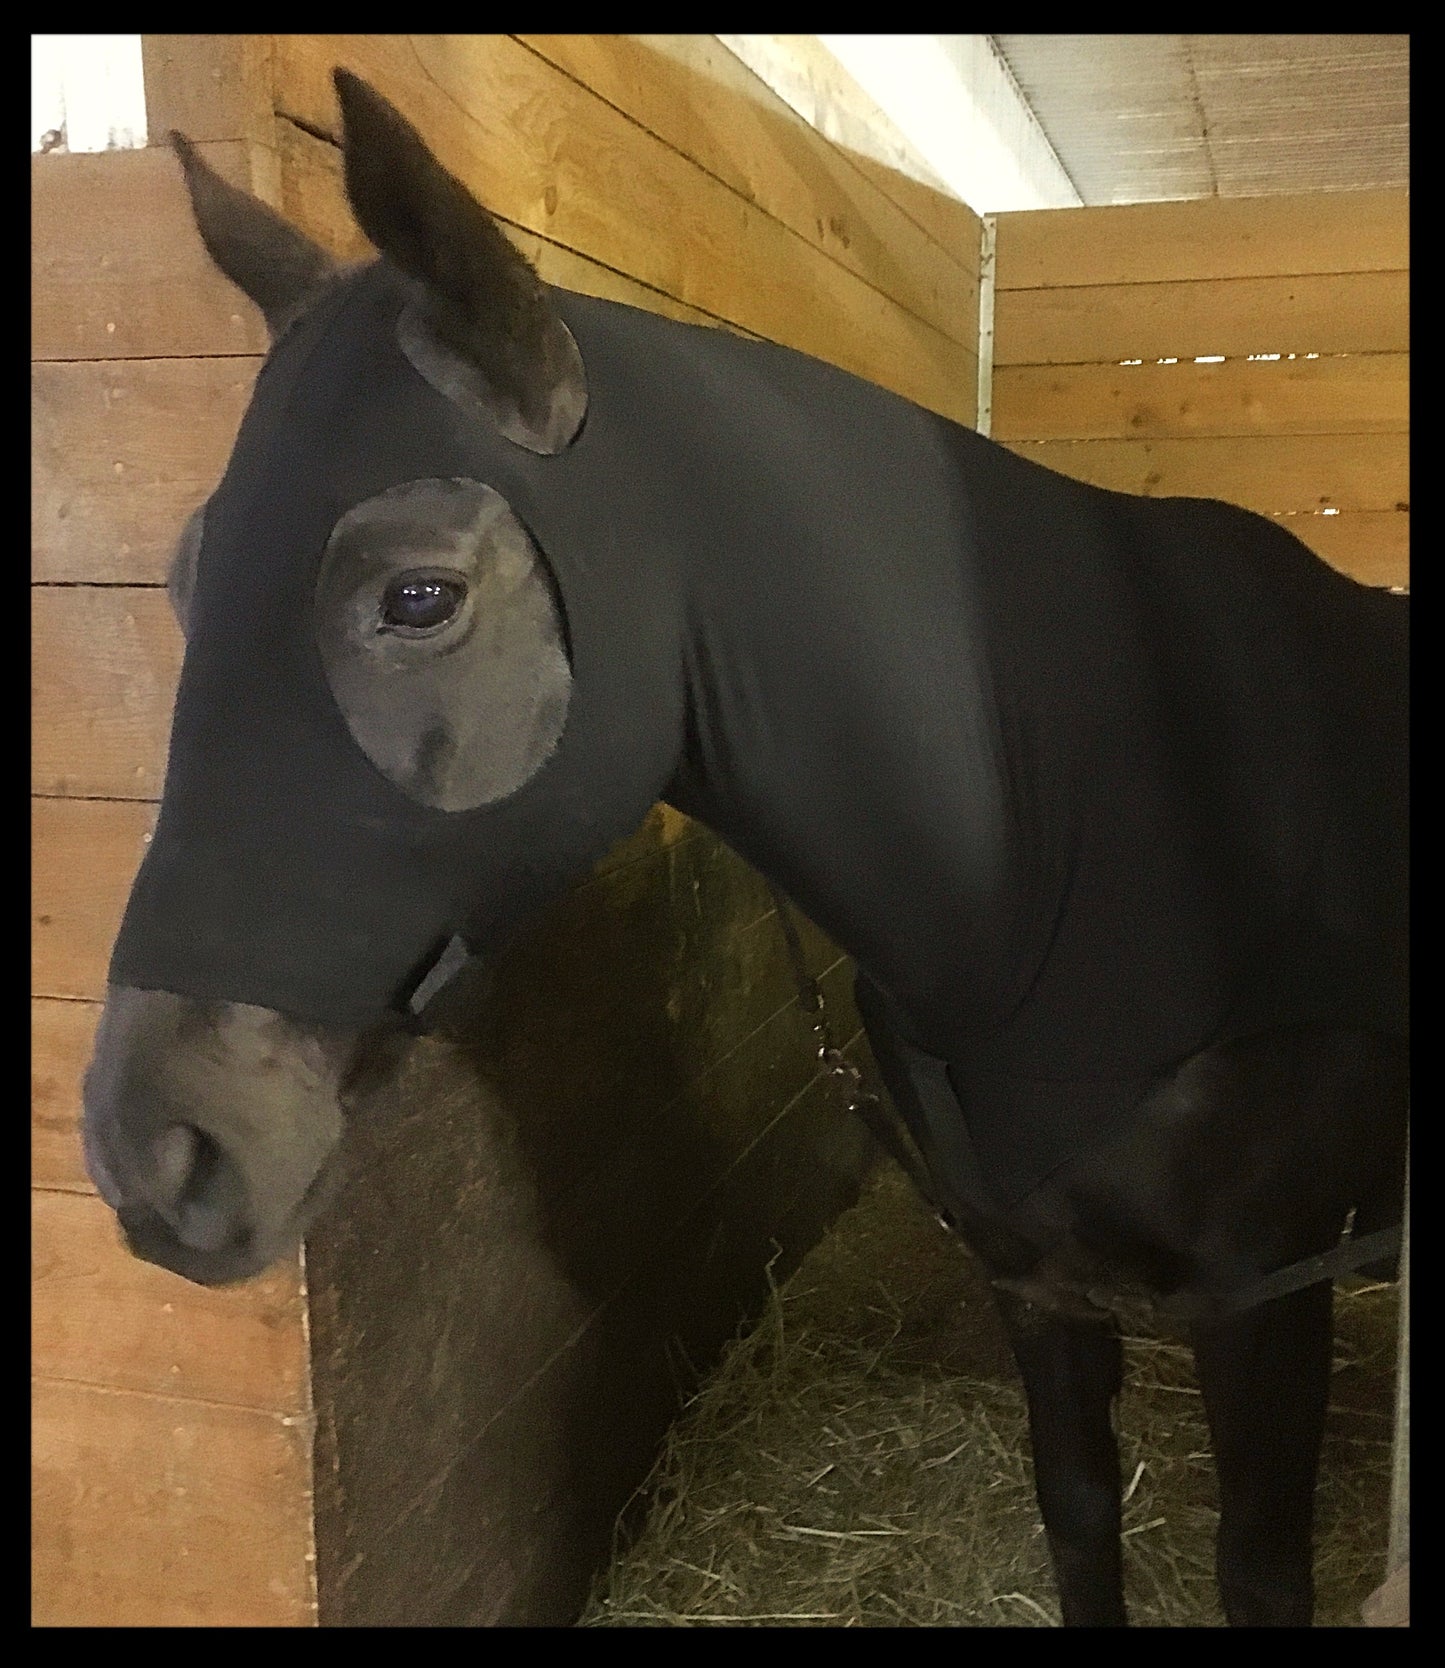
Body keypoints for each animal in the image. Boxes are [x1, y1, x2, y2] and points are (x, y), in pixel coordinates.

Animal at [81, 69, 1408, 1627]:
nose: (152, 1149)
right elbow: (1078, 1511)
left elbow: (1256, 1572)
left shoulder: (1267, 1293)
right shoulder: (1032, 1277)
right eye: (181, 582)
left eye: (417, 597)